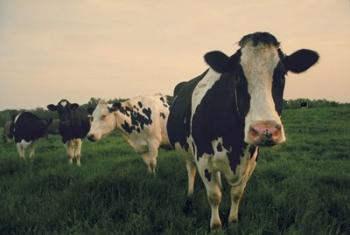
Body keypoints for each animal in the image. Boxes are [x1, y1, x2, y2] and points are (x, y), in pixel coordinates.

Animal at [167, 32, 320, 229]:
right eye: (238, 77)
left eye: (282, 75)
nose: (265, 130)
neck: (234, 143)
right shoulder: (203, 157)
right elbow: (214, 195)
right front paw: (216, 226)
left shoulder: (251, 160)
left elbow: (236, 194)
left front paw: (233, 221)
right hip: (188, 152)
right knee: (191, 170)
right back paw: (190, 197)